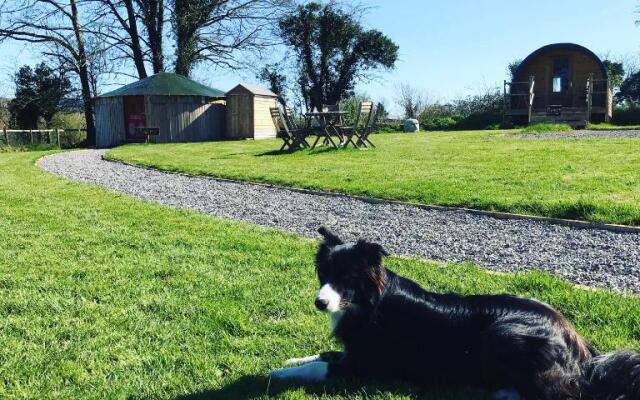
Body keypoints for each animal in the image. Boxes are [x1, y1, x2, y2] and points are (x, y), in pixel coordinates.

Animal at [272, 227, 640, 398]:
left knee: (565, 393)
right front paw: (290, 359)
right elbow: (320, 354)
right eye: (324, 275)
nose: (319, 303)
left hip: (505, 334)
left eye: (347, 279)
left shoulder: (368, 364)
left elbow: (321, 365)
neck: (370, 302)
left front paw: (276, 373)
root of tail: (583, 352)